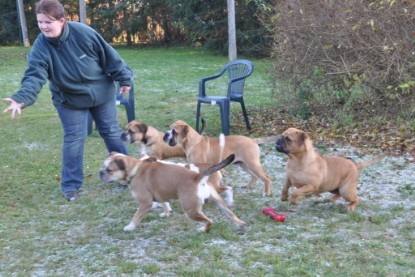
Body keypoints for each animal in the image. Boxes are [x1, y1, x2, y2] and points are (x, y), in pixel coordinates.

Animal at [99, 152, 245, 232]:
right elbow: (164, 203)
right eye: (103, 166)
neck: (135, 169)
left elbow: (136, 216)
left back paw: (203, 229)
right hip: (218, 201)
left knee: (209, 221)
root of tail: (197, 177)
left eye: (109, 170)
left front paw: (130, 227)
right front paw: (166, 212)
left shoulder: (145, 203)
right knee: (231, 214)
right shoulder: (159, 193)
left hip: (190, 210)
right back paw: (240, 224)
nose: (100, 172)